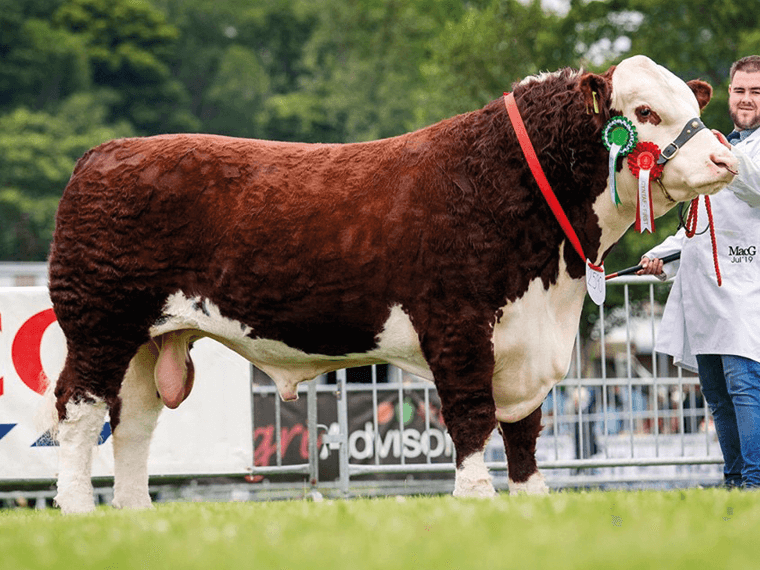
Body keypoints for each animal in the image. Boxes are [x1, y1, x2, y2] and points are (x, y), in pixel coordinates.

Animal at [44, 55, 732, 512]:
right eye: (644, 112)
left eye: (696, 107)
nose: (724, 157)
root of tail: (103, 154)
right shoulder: (457, 323)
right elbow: (472, 414)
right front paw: (475, 496)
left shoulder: (528, 340)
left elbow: (525, 427)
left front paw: (532, 499)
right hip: (98, 323)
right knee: (79, 413)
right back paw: (79, 511)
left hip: (147, 336)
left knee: (133, 423)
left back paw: (136, 514)